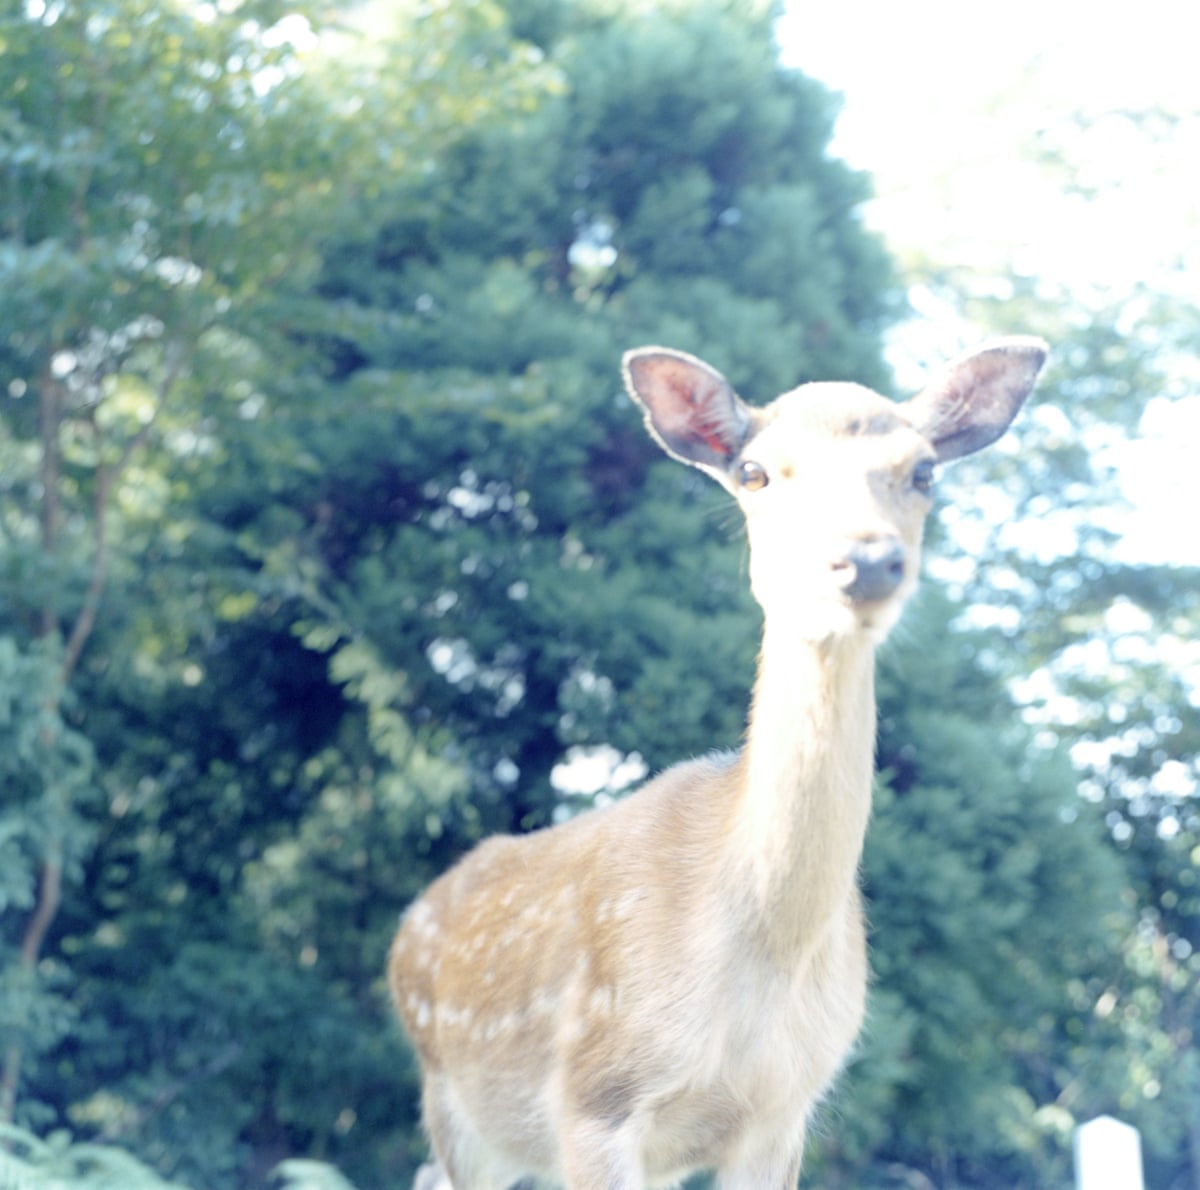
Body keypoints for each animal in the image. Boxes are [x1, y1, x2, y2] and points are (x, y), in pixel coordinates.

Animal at [388, 337, 1049, 1189]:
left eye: (924, 471)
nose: (865, 562)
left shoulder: (782, 1113)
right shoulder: (593, 1096)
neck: (765, 952)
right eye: (755, 472)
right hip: (458, 1102)